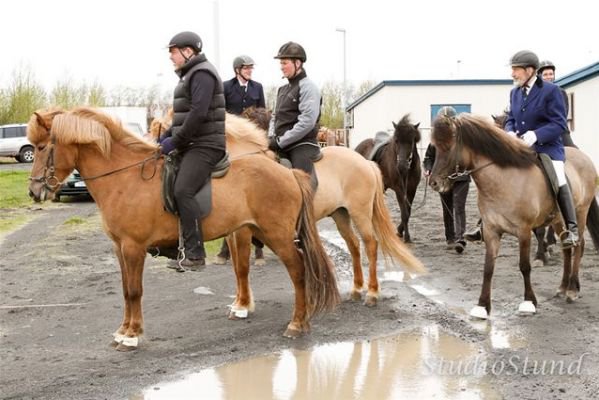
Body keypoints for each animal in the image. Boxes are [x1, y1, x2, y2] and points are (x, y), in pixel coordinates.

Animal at [27, 106, 342, 350]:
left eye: (42, 147)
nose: (34, 192)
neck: (125, 178)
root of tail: (288, 172)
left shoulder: (133, 247)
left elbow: (134, 291)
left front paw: (131, 336)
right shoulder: (120, 248)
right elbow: (126, 289)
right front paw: (123, 331)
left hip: (278, 235)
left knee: (298, 271)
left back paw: (297, 323)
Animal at [356, 114, 422, 242]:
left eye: (411, 141)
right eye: (396, 141)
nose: (401, 166)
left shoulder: (412, 189)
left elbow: (408, 212)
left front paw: (400, 231)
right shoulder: (399, 190)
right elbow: (404, 214)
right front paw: (406, 237)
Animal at [428, 114, 596, 320]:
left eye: (448, 146)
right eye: (435, 147)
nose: (434, 183)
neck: (503, 180)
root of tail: (584, 157)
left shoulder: (524, 231)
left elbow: (524, 266)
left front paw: (529, 302)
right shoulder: (491, 231)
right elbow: (488, 268)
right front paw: (482, 305)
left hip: (580, 212)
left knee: (578, 245)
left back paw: (572, 289)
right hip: (558, 219)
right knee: (566, 249)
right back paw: (563, 287)